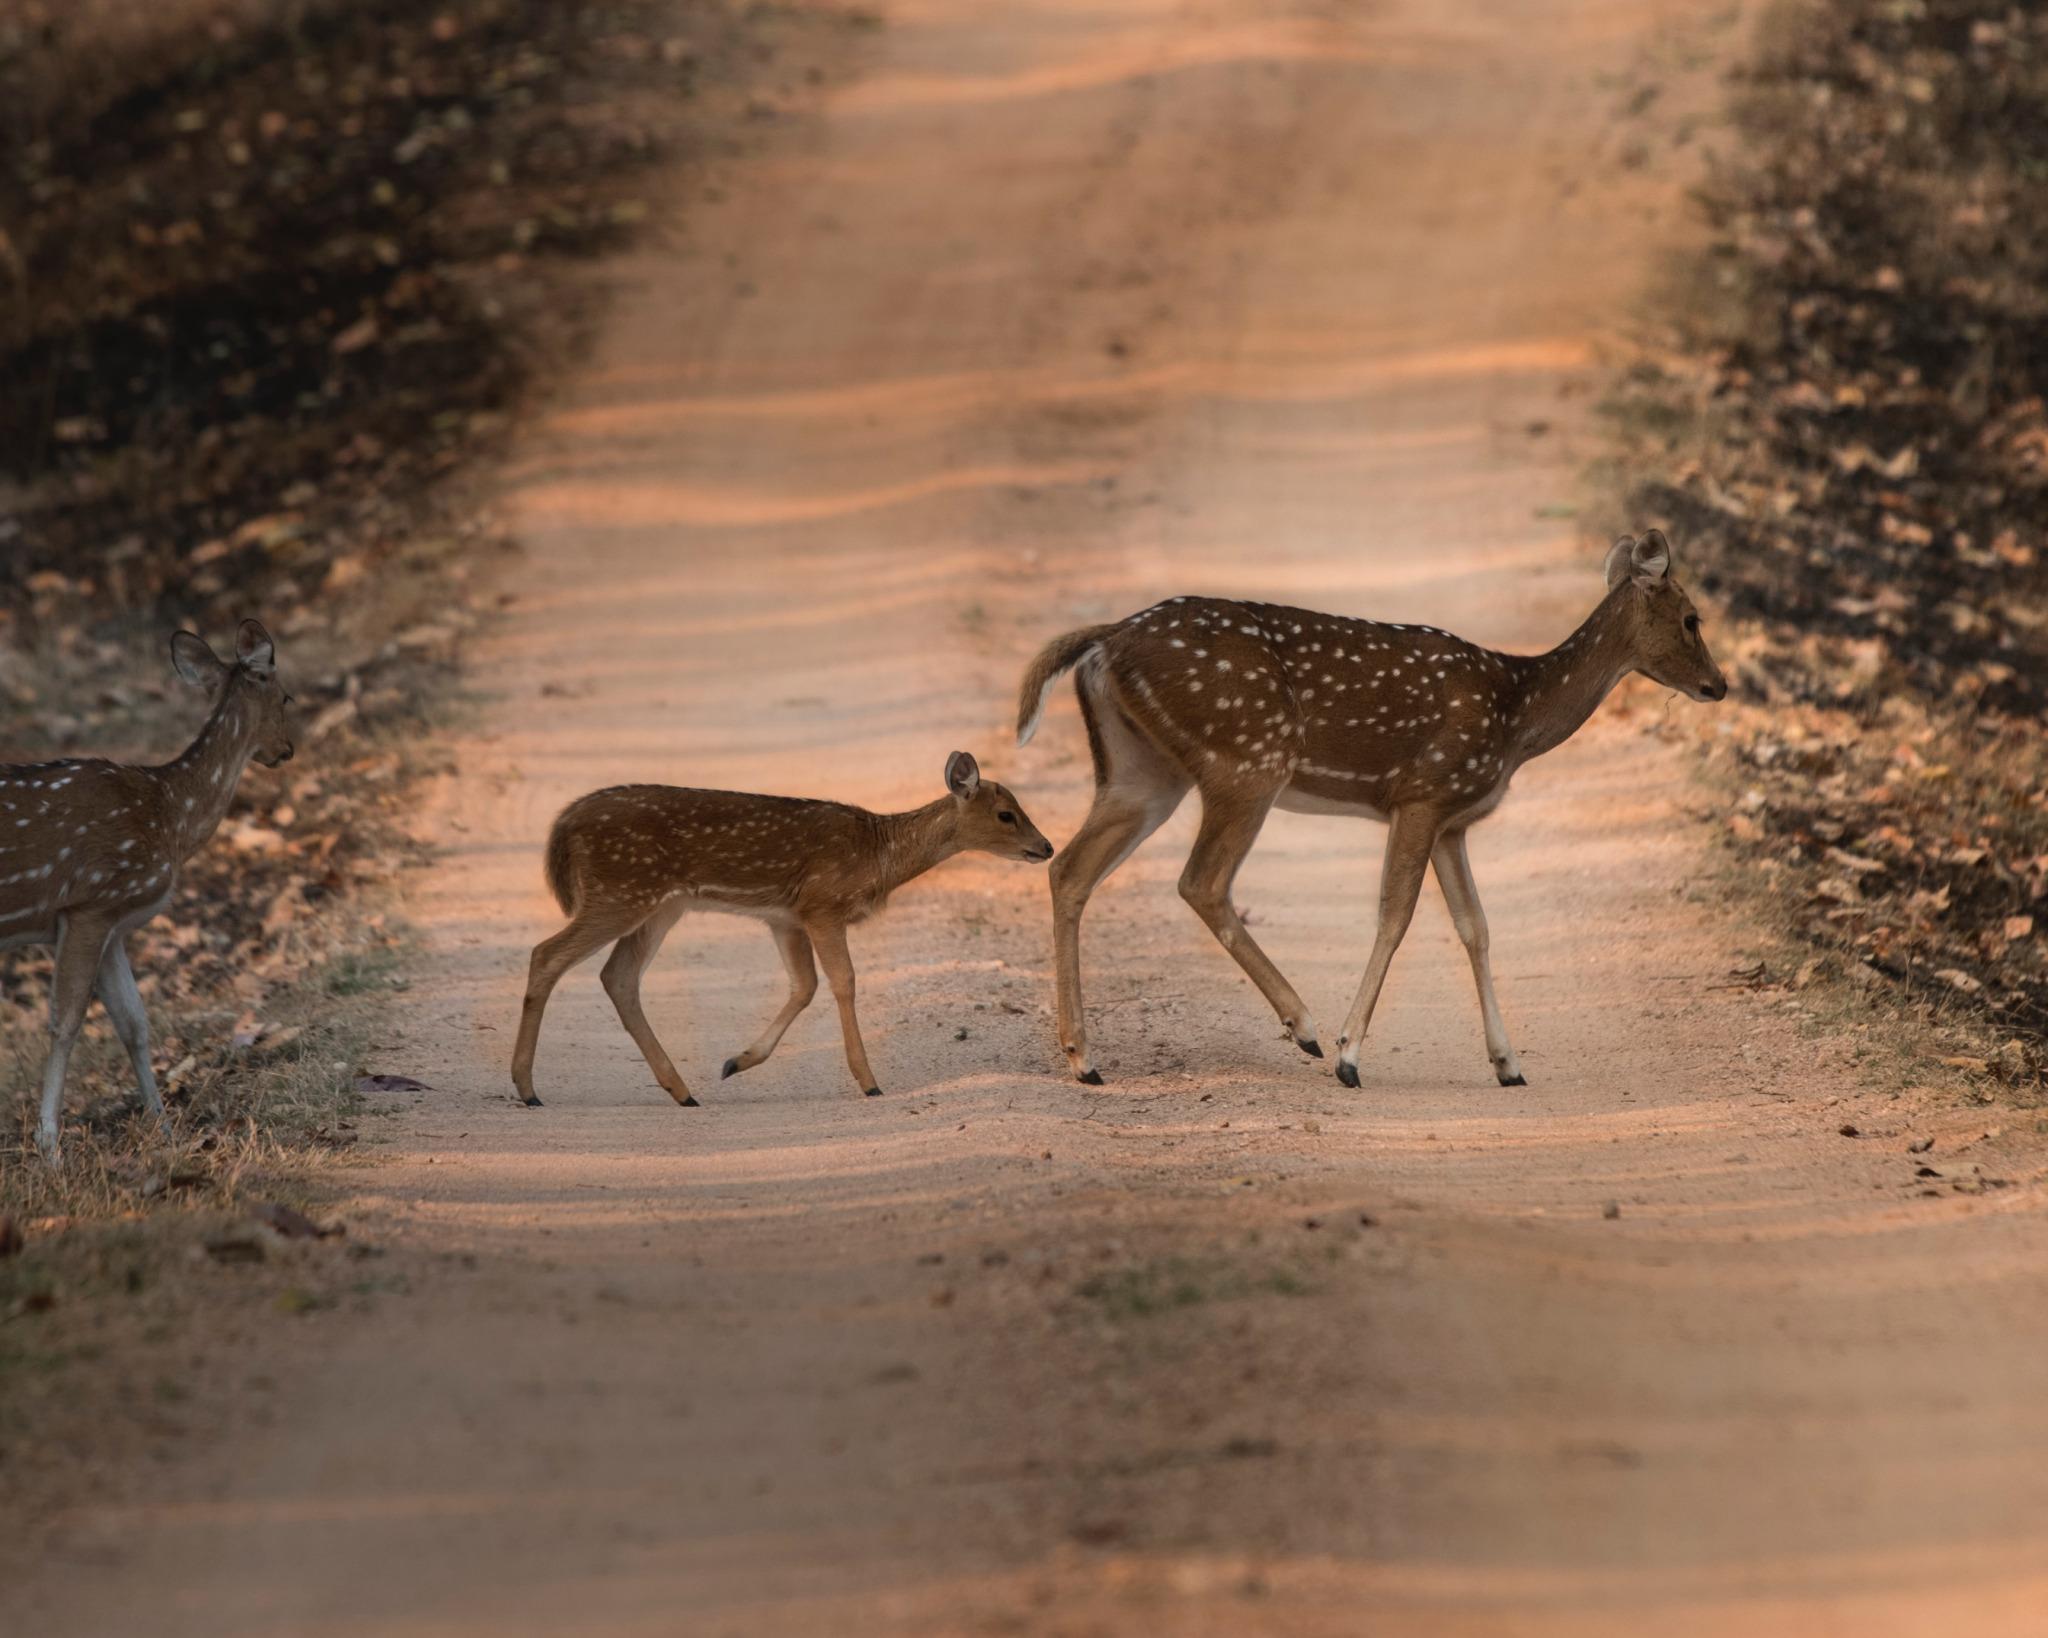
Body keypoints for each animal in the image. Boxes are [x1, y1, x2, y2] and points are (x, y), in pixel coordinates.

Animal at [6, 618, 296, 1162]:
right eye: (287, 696)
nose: (286, 751)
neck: (170, 817)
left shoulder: (112, 924)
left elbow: (134, 1024)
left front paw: (164, 1128)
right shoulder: (90, 900)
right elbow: (65, 1021)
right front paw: (50, 1148)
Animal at [512, 749, 1056, 1105]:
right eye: (1006, 814)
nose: (1046, 847)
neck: (878, 856)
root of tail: (563, 826)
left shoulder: (784, 916)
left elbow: (804, 985)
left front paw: (736, 1062)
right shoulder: (823, 904)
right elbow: (843, 982)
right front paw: (869, 1081)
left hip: (658, 906)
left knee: (618, 977)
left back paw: (682, 1091)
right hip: (621, 890)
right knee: (548, 955)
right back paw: (527, 1088)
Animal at [1015, 532, 1720, 1089]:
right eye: (1691, 618)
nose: (1719, 684)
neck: (1514, 714)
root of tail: (1107, 640)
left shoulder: (1453, 821)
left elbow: (1475, 926)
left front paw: (1509, 1064)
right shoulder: (1423, 792)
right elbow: (1396, 914)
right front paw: (1350, 1056)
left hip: (1141, 774)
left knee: (1069, 869)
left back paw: (1084, 1059)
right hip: (1248, 758)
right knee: (1201, 881)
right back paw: (1305, 1026)